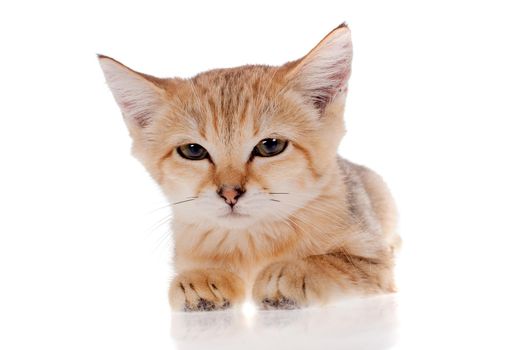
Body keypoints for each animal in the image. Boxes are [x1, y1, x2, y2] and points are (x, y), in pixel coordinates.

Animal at [98, 23, 400, 310]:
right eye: (193, 151)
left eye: (270, 146)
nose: (230, 193)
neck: (250, 243)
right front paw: (202, 278)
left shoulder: (376, 263)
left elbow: (331, 262)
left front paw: (289, 272)